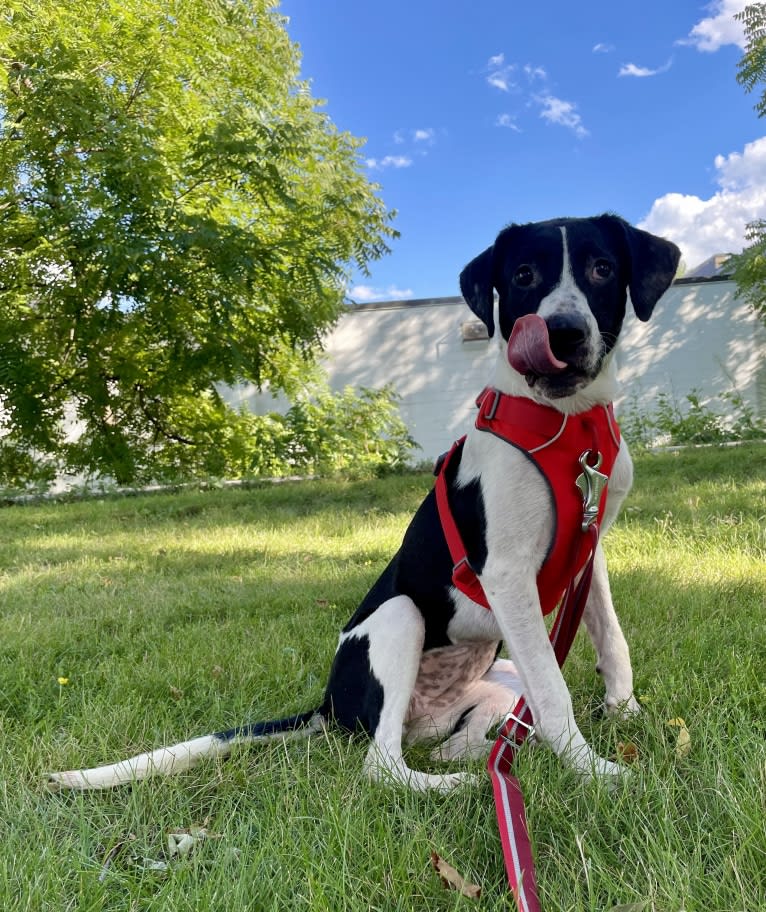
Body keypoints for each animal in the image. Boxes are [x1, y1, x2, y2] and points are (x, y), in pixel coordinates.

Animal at [48, 212, 680, 792]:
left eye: (603, 269)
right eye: (524, 275)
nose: (564, 332)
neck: (571, 427)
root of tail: (330, 704)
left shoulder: (588, 554)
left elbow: (612, 640)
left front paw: (627, 715)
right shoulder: (506, 575)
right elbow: (554, 691)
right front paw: (596, 772)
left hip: (500, 679)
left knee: (463, 734)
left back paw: (481, 755)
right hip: (400, 617)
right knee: (383, 764)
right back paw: (460, 783)